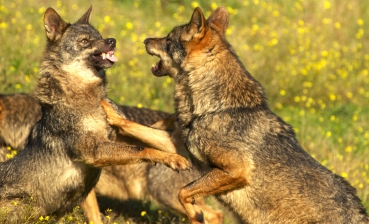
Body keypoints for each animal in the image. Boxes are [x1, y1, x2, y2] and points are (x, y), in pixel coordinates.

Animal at [0, 7, 190, 222]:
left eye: (99, 36)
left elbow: (143, 137)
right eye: (84, 41)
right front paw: (173, 158)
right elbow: (142, 149)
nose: (112, 41)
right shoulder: (94, 150)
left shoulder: (119, 137)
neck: (85, 94)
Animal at [142, 6, 368, 224]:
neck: (216, 107)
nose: (145, 40)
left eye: (168, 39)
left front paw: (196, 214)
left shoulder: (236, 170)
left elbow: (183, 192)